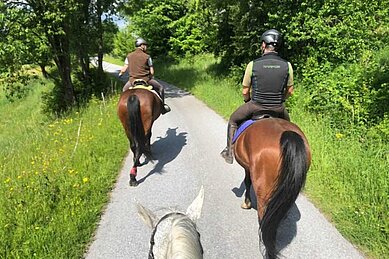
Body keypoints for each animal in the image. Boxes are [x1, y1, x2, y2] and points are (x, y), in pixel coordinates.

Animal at [232, 118, 310, 259]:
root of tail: (288, 134)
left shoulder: (247, 168)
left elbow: (247, 182)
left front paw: (246, 203)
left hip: (263, 193)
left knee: (265, 220)